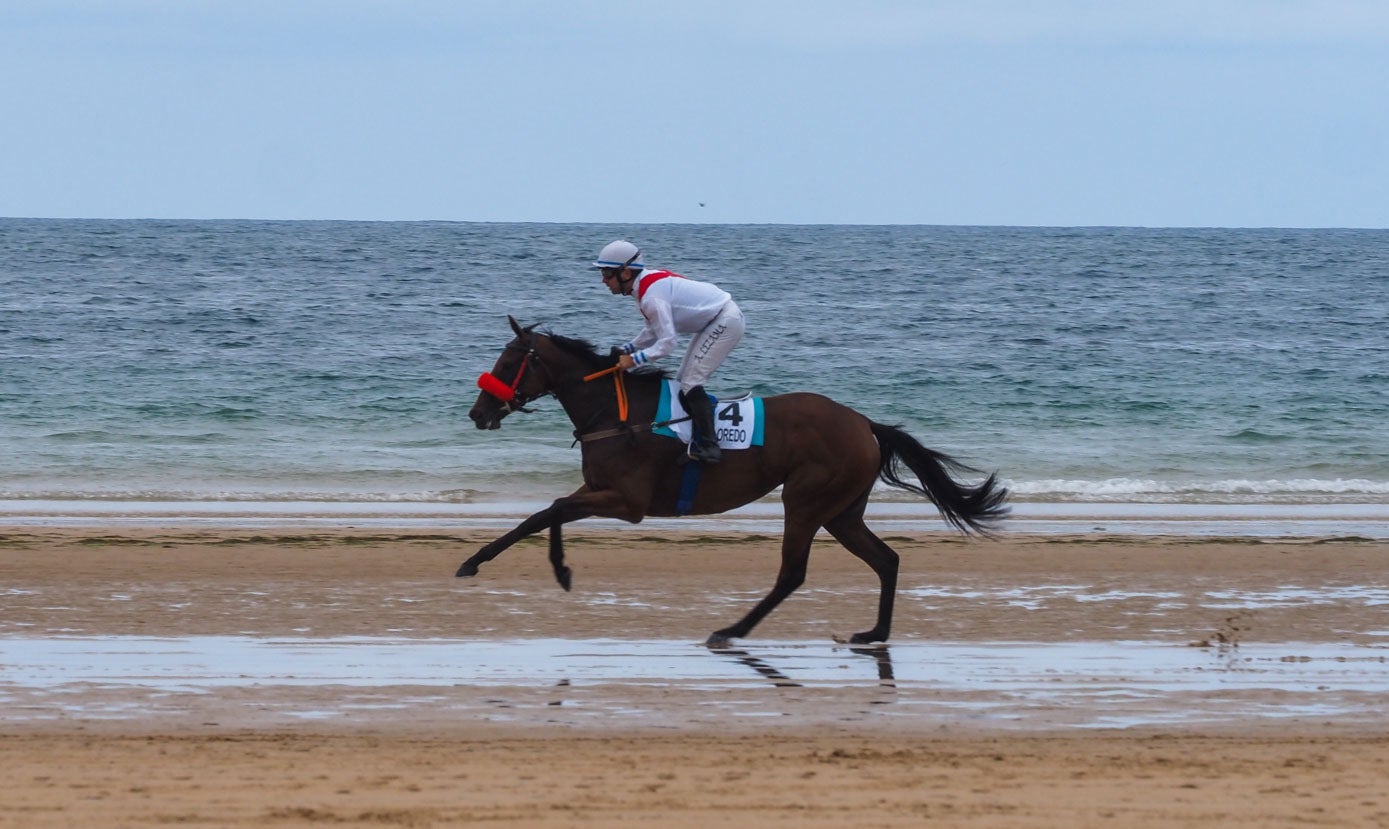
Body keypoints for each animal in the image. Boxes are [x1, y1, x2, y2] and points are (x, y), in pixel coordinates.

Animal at [461, 313, 1005, 644]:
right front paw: (485, 562)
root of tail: (865, 423)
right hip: (843, 512)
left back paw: (733, 629)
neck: (614, 413)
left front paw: (550, 569)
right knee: (887, 560)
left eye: (507, 362)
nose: (477, 413)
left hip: (805, 501)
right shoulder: (598, 490)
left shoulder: (627, 501)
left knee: (793, 573)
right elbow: (540, 515)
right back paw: (873, 634)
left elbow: (551, 509)